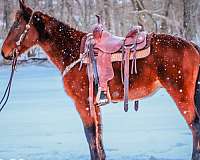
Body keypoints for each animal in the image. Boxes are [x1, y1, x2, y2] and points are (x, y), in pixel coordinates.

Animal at [1, 0, 200, 159]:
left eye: (17, 24)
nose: (4, 52)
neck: (73, 52)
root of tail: (191, 44)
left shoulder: (83, 103)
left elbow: (90, 135)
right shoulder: (94, 105)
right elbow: (99, 136)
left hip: (181, 94)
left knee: (195, 125)